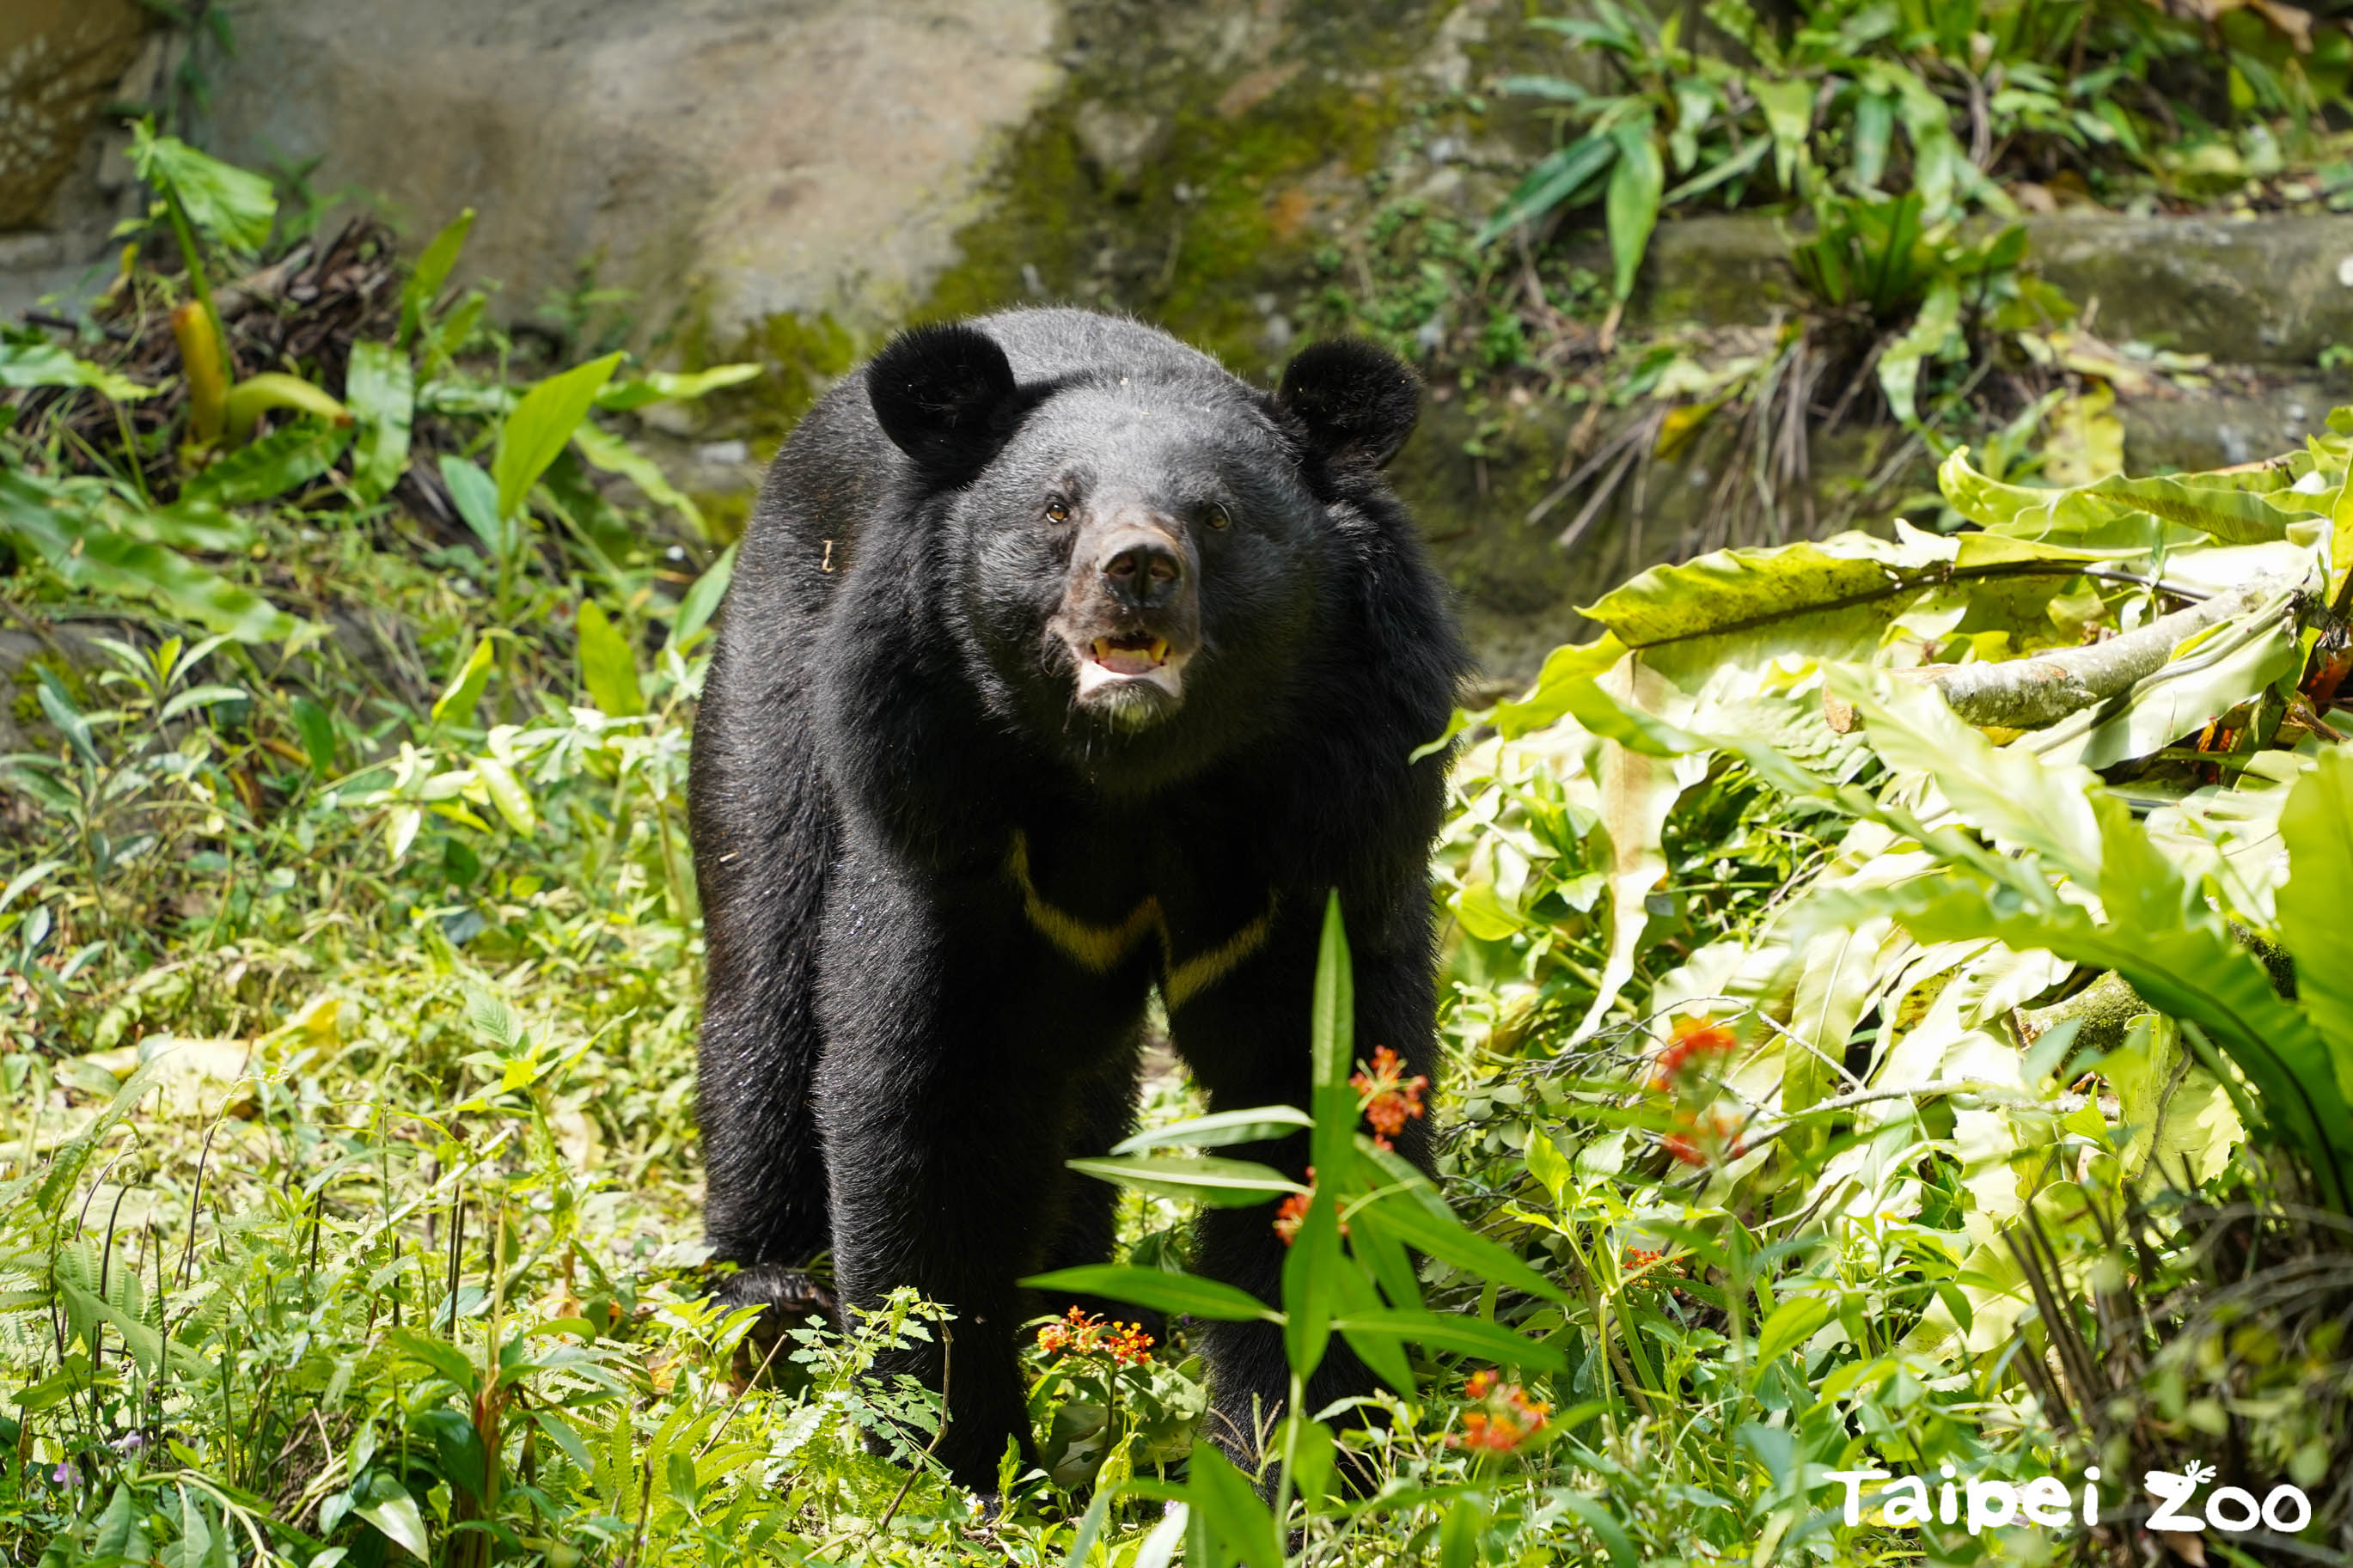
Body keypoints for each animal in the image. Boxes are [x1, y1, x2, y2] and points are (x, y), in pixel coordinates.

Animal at [687, 310, 1468, 1495]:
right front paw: (952, 1452)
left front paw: (1286, 1457)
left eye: (1215, 514)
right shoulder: (944, 816)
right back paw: (768, 1292)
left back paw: (1084, 1308)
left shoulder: (1333, 833)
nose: (1136, 570)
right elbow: (937, 1091)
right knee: (766, 962)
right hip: (774, 678)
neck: (1132, 776)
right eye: (1057, 508)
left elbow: (1314, 1117)